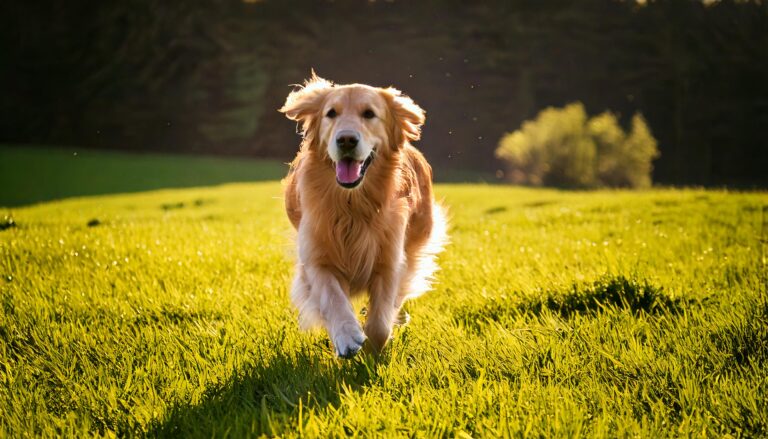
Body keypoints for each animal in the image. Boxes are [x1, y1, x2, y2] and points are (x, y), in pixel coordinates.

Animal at [280, 74, 448, 360]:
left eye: (369, 114)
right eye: (331, 113)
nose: (346, 140)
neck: (352, 207)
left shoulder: (389, 261)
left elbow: (380, 323)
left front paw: (371, 350)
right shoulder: (316, 261)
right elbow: (333, 298)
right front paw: (347, 336)